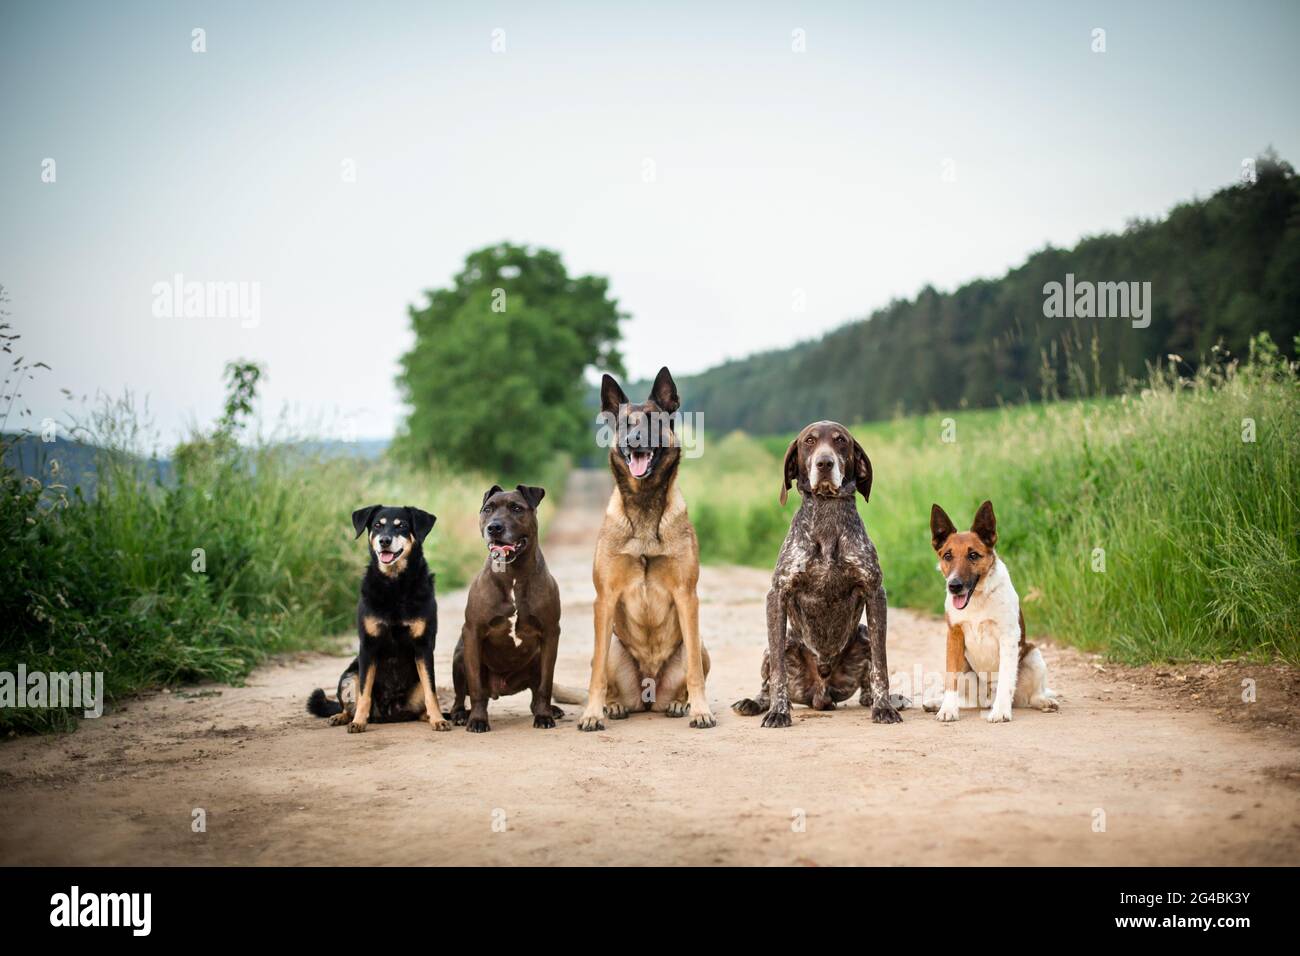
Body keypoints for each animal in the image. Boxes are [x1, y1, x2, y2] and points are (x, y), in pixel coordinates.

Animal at [305, 504, 452, 738]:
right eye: (377, 525)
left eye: (401, 526)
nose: (384, 540)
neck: (395, 585)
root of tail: (389, 713)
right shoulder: (368, 647)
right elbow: (364, 693)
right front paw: (358, 722)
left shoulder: (423, 646)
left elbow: (432, 692)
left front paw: (438, 719)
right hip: (349, 676)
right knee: (348, 704)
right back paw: (342, 717)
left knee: (423, 705)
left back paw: (430, 716)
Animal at [452, 486, 585, 733]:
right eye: (488, 509)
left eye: (516, 508)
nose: (494, 527)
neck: (512, 573)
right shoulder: (472, 632)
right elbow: (475, 688)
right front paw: (477, 720)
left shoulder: (550, 634)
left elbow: (545, 685)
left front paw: (544, 716)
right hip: (459, 655)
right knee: (461, 694)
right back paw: (459, 714)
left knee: (535, 694)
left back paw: (550, 709)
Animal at [582, 369, 722, 733]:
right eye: (626, 424)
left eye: (653, 421)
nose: (634, 441)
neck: (644, 505)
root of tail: (648, 694)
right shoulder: (604, 599)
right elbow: (597, 676)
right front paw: (592, 714)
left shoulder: (687, 596)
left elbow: (695, 673)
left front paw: (701, 710)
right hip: (612, 644)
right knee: (605, 673)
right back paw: (614, 706)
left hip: (697, 643)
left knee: (691, 670)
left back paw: (679, 704)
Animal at [733, 421, 904, 728]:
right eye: (809, 441)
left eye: (841, 441)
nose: (825, 463)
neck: (827, 517)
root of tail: (821, 694)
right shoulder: (777, 595)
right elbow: (778, 674)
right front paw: (778, 711)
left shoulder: (875, 594)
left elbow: (880, 666)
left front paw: (884, 707)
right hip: (783, 644)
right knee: (768, 680)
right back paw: (756, 703)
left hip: (862, 634)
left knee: (867, 682)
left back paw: (878, 700)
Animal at [925, 504, 1055, 723]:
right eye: (947, 556)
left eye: (973, 555)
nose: (954, 586)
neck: (977, 598)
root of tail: (986, 700)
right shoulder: (954, 636)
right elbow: (950, 678)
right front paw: (947, 709)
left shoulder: (1008, 637)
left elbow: (1005, 679)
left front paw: (1001, 711)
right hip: (966, 670)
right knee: (966, 699)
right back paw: (936, 703)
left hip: (1033, 656)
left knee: (1031, 696)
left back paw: (1043, 701)